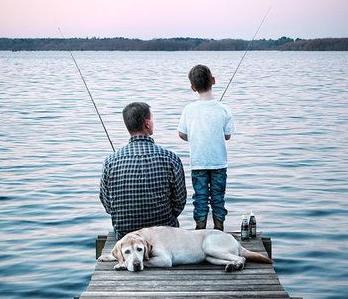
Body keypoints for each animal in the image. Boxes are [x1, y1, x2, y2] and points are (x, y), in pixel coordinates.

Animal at [98, 226, 272, 274]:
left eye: (139, 249)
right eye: (127, 251)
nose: (135, 265)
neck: (145, 235)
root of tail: (235, 240)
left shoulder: (164, 260)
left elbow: (147, 262)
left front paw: (122, 265)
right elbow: (115, 255)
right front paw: (108, 257)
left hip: (210, 246)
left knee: (242, 258)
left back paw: (237, 265)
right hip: (211, 257)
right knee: (232, 259)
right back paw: (231, 266)